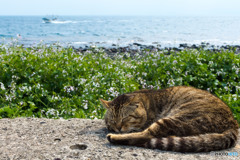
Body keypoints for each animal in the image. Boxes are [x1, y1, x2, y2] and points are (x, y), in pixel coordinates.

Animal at [99, 86, 238, 152]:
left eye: (125, 118)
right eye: (113, 120)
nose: (118, 128)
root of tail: (233, 123)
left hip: (174, 119)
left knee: (145, 135)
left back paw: (114, 137)